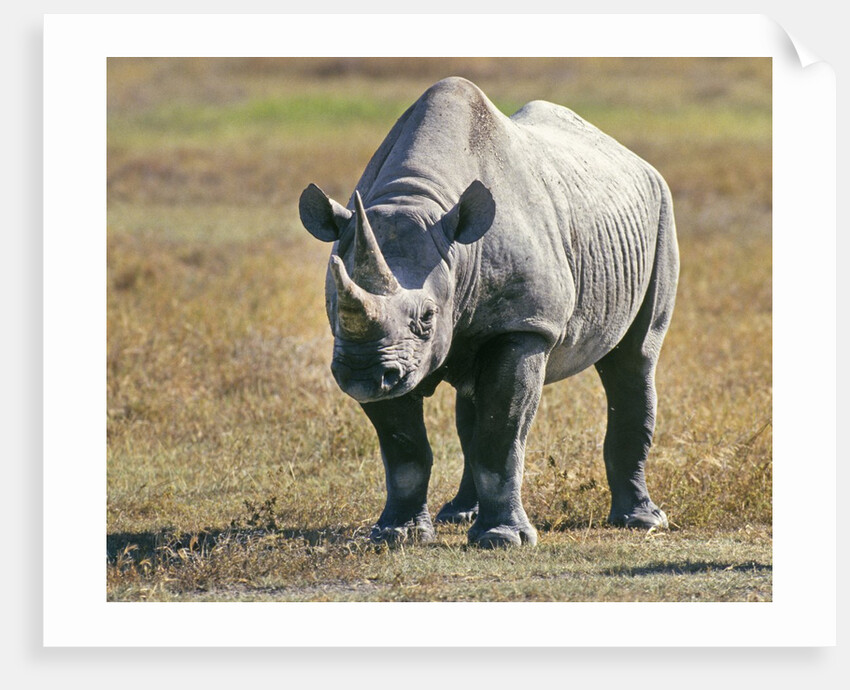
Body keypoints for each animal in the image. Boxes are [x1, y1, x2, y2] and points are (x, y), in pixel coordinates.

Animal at [298, 77, 679, 547]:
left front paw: (502, 540)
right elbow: (404, 447)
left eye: (427, 319)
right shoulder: (382, 349)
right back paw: (458, 515)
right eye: (335, 305)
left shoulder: (525, 326)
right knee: (470, 402)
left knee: (634, 359)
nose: (362, 376)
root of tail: (633, 158)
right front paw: (397, 535)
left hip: (660, 212)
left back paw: (643, 522)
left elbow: (501, 431)